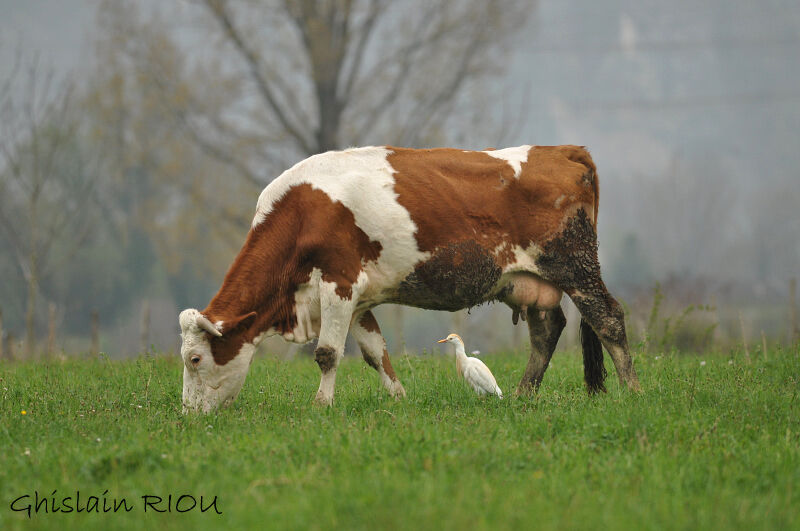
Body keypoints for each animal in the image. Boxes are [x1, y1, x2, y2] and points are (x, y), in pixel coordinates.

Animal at [178, 148, 640, 414]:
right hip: (529, 281)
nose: (186, 414)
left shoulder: (338, 283)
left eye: (195, 359)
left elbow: (327, 353)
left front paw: (321, 405)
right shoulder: (358, 300)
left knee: (608, 317)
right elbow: (375, 353)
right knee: (547, 331)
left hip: (575, 265)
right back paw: (523, 394)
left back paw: (631, 390)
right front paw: (398, 398)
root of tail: (561, 150)